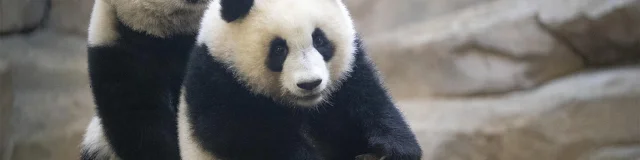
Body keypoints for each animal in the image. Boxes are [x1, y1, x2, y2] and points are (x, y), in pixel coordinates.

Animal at [178, 0, 422, 160]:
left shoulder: (348, 75)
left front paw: (389, 150)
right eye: (279, 49)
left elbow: (370, 104)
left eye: (319, 40)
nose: (310, 84)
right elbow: (251, 135)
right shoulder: (218, 81)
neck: (304, 107)